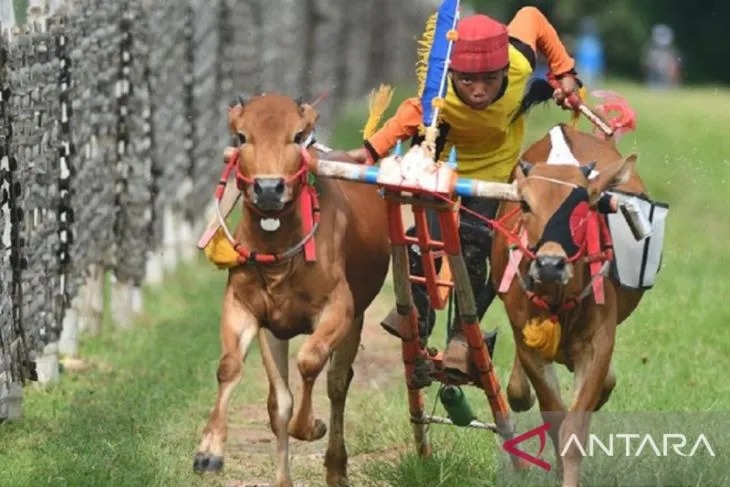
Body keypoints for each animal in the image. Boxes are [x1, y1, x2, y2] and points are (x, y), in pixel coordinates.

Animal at [191, 94, 390, 487]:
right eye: (241, 136)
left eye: (298, 136)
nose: (269, 188)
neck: (281, 261)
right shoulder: (250, 311)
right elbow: (242, 376)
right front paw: (209, 452)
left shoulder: (340, 308)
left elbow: (310, 362)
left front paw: (311, 426)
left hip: (357, 319)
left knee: (338, 383)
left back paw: (336, 467)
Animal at [492, 125, 644, 487]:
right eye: (525, 203)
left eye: (584, 205)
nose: (550, 264)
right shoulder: (528, 341)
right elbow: (555, 417)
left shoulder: (598, 343)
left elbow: (574, 427)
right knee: (519, 392)